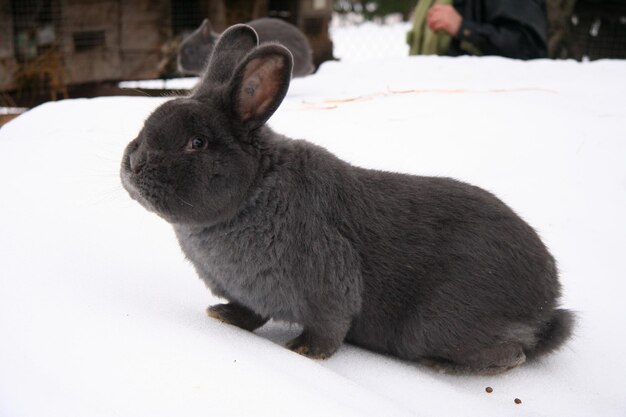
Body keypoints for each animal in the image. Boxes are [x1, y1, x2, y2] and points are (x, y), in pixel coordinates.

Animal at [119, 24, 572, 372]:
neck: (254, 193)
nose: (133, 166)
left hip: (436, 323)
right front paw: (223, 316)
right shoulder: (249, 293)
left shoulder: (330, 282)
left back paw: (442, 365)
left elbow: (329, 327)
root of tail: (548, 303)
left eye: (197, 142)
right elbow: (250, 314)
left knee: (513, 355)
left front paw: (304, 351)